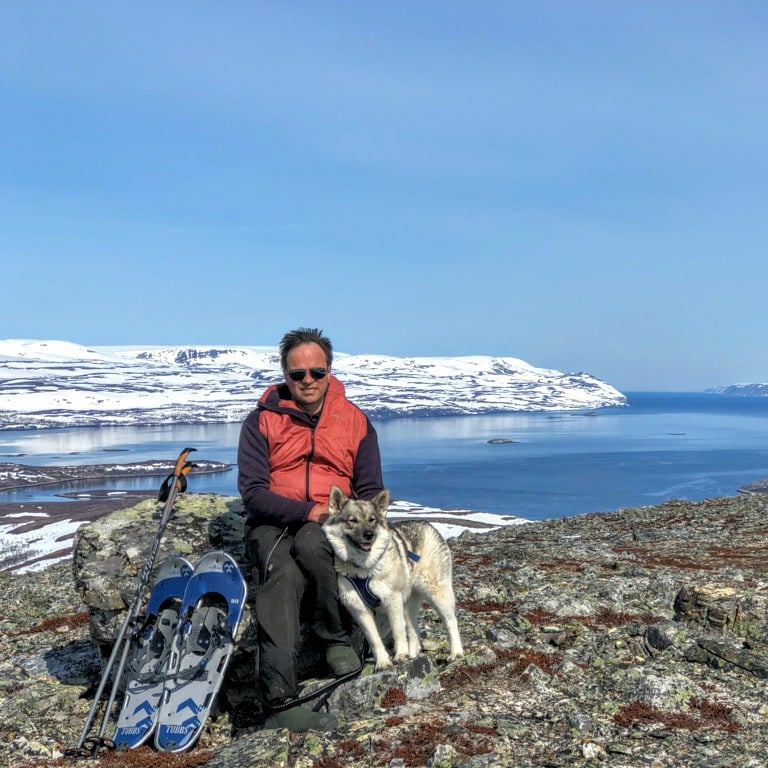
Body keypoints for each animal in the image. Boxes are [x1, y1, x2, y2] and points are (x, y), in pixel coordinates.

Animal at [322, 488, 464, 668]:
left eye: (372, 520)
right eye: (352, 520)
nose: (369, 534)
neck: (364, 568)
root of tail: (426, 523)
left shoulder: (392, 600)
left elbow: (397, 631)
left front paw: (400, 655)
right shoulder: (359, 609)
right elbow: (374, 638)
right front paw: (383, 662)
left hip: (436, 593)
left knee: (451, 622)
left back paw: (456, 653)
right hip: (408, 604)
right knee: (413, 629)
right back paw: (413, 654)